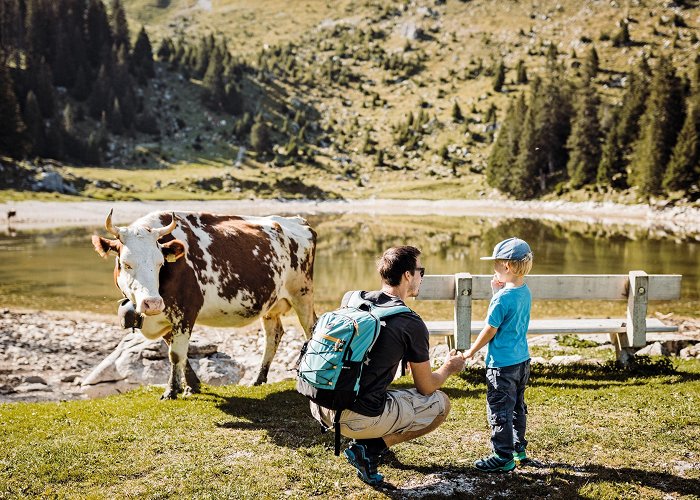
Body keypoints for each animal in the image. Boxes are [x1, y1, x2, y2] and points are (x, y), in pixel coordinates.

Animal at [90, 209, 318, 400]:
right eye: (126, 264)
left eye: (160, 263)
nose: (152, 303)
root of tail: (296, 220)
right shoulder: (166, 317)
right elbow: (178, 352)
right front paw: (192, 385)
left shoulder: (185, 311)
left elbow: (175, 354)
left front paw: (172, 391)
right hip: (271, 303)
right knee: (273, 334)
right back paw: (258, 379)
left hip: (302, 293)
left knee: (310, 328)